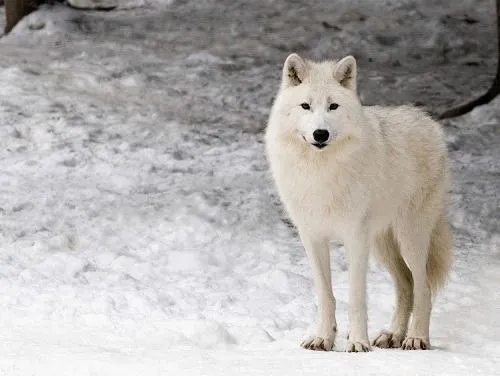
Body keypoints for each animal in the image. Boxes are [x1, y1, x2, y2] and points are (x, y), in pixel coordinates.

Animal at [266, 53, 454, 352]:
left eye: (333, 106)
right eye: (306, 106)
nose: (320, 134)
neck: (320, 171)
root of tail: (428, 121)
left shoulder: (355, 237)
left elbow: (355, 297)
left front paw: (357, 343)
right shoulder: (312, 237)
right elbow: (326, 295)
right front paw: (324, 338)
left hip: (409, 237)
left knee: (422, 288)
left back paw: (416, 338)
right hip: (383, 245)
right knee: (406, 286)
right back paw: (392, 335)